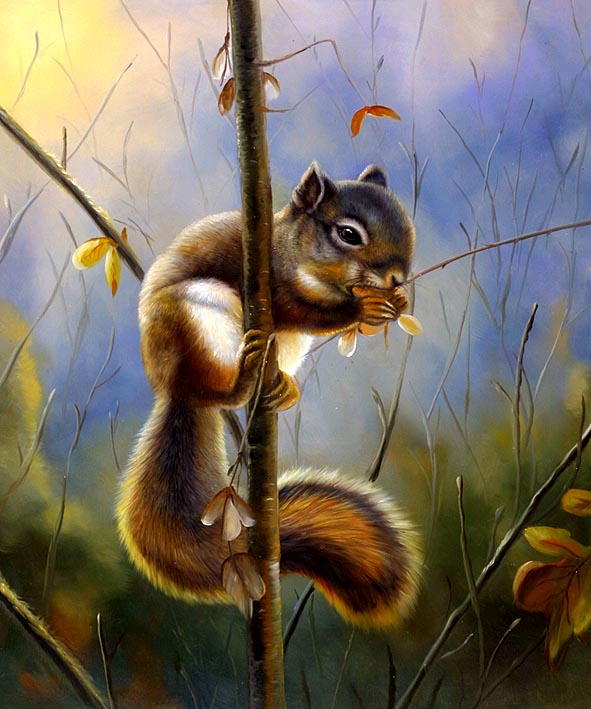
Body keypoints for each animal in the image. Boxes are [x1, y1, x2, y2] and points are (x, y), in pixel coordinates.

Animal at [117, 162, 422, 628]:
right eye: (348, 234)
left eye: (406, 225)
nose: (396, 278)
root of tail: (173, 388)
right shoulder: (270, 287)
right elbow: (300, 310)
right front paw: (363, 309)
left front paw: (397, 301)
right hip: (200, 314)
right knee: (217, 389)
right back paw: (243, 379)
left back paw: (284, 388)